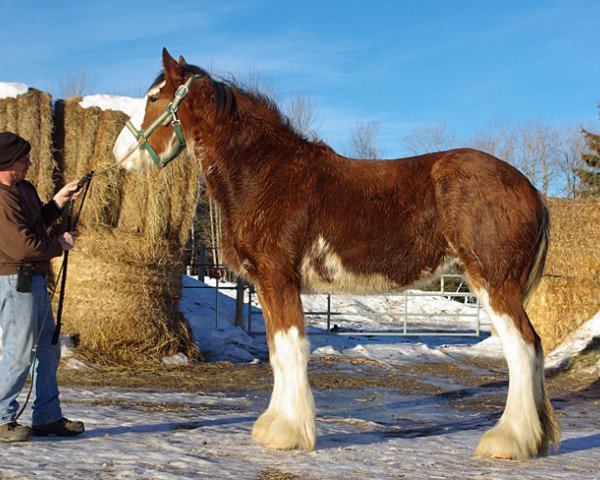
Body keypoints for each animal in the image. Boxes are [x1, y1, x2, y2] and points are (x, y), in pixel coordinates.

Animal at [115, 48, 560, 462]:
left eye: (154, 97)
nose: (119, 153)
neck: (265, 174)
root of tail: (530, 189)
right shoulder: (267, 284)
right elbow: (277, 352)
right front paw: (273, 425)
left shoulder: (279, 277)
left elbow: (292, 349)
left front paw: (290, 434)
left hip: (493, 282)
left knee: (522, 349)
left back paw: (509, 440)